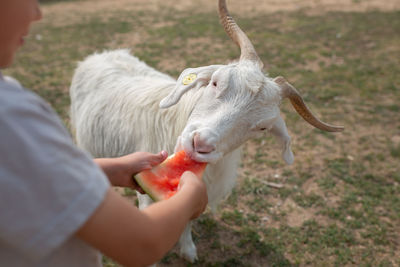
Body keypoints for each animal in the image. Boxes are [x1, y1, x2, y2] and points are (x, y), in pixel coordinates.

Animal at [69, 0, 344, 264]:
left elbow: (186, 220)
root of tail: (101, 55)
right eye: (215, 82)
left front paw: (189, 250)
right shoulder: (147, 201)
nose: (200, 143)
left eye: (262, 127)